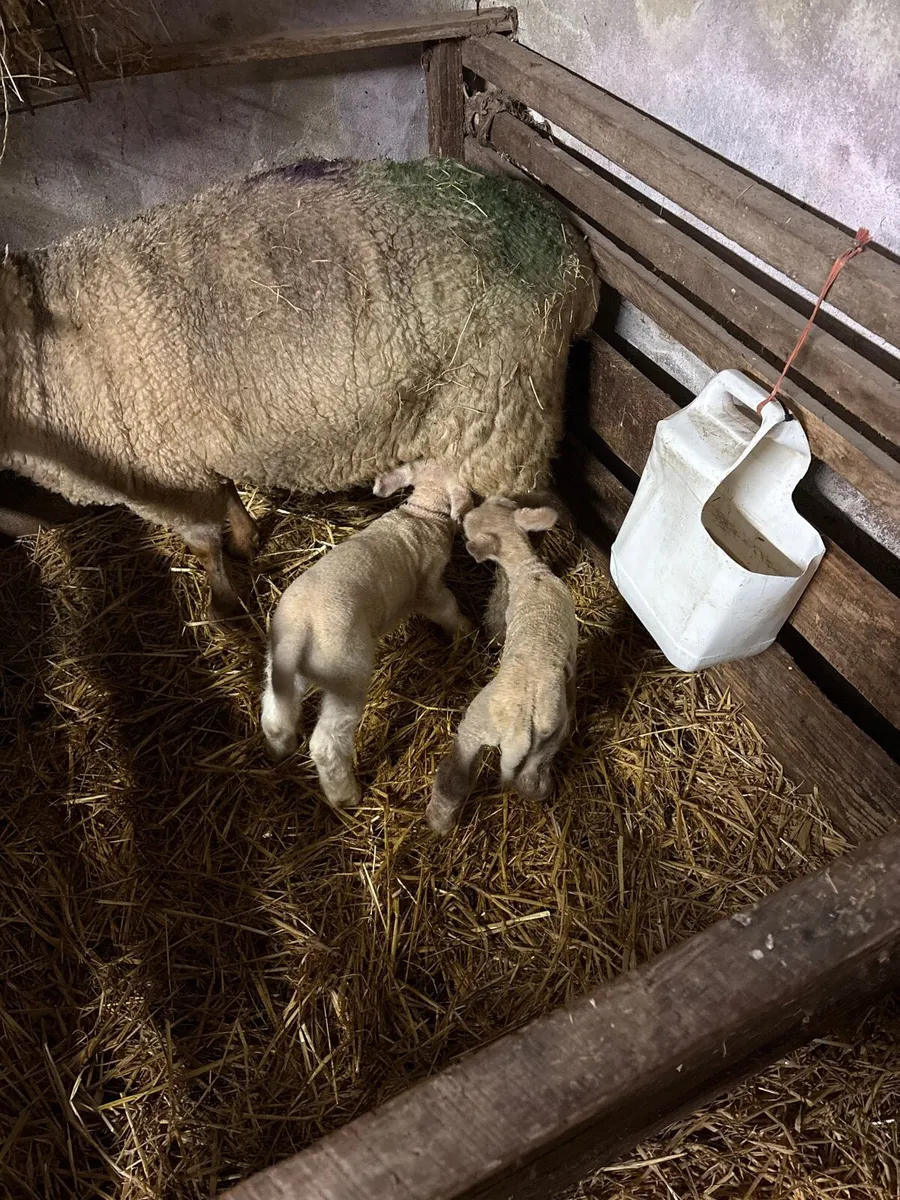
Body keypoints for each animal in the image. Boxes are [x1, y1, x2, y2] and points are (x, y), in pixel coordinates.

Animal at [0, 158, 598, 620]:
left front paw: (224, 605)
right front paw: (246, 541)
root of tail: (573, 253)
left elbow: (203, 545)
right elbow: (229, 496)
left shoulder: (165, 478)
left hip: (506, 413)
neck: (39, 352)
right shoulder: (194, 455)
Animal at [261, 459, 472, 810]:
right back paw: (346, 795)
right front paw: (467, 631)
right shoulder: (429, 588)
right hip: (346, 669)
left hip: (282, 666)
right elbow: (447, 608)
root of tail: (299, 631)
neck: (422, 516)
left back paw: (281, 748)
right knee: (327, 743)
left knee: (275, 714)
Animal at [426, 496, 577, 835]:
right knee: (529, 777)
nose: (467, 511)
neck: (529, 571)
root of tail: (517, 735)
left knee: (456, 775)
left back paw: (438, 822)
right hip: (548, 738)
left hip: (479, 725)